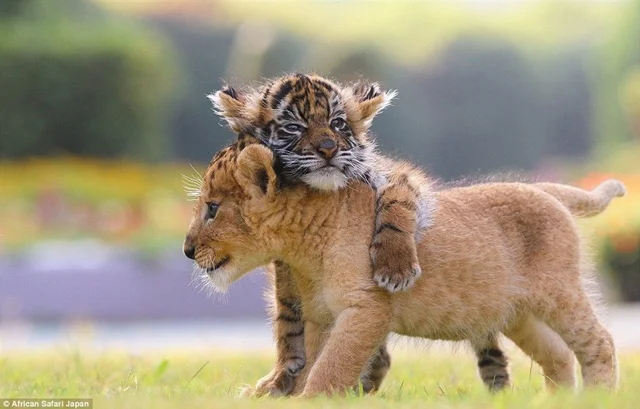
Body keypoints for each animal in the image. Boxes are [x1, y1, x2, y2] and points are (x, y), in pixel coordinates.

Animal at [183, 137, 622, 397]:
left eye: (212, 209)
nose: (186, 250)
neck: (304, 246)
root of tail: (542, 188)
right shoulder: (318, 316)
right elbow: (309, 360)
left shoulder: (367, 309)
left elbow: (332, 367)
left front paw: (312, 400)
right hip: (518, 314)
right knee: (558, 355)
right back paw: (558, 402)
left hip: (558, 292)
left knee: (599, 341)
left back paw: (599, 398)